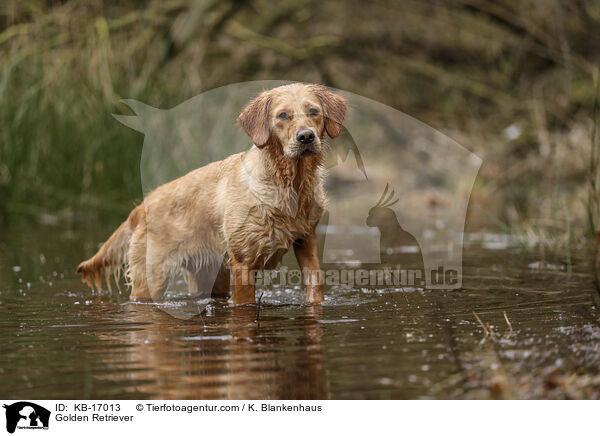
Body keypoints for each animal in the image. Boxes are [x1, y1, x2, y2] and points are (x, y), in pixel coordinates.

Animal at [76, 83, 346, 304]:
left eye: (313, 112)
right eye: (282, 115)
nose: (306, 137)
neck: (288, 183)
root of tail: (141, 206)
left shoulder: (307, 241)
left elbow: (315, 286)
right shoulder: (243, 262)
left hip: (211, 274)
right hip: (151, 278)